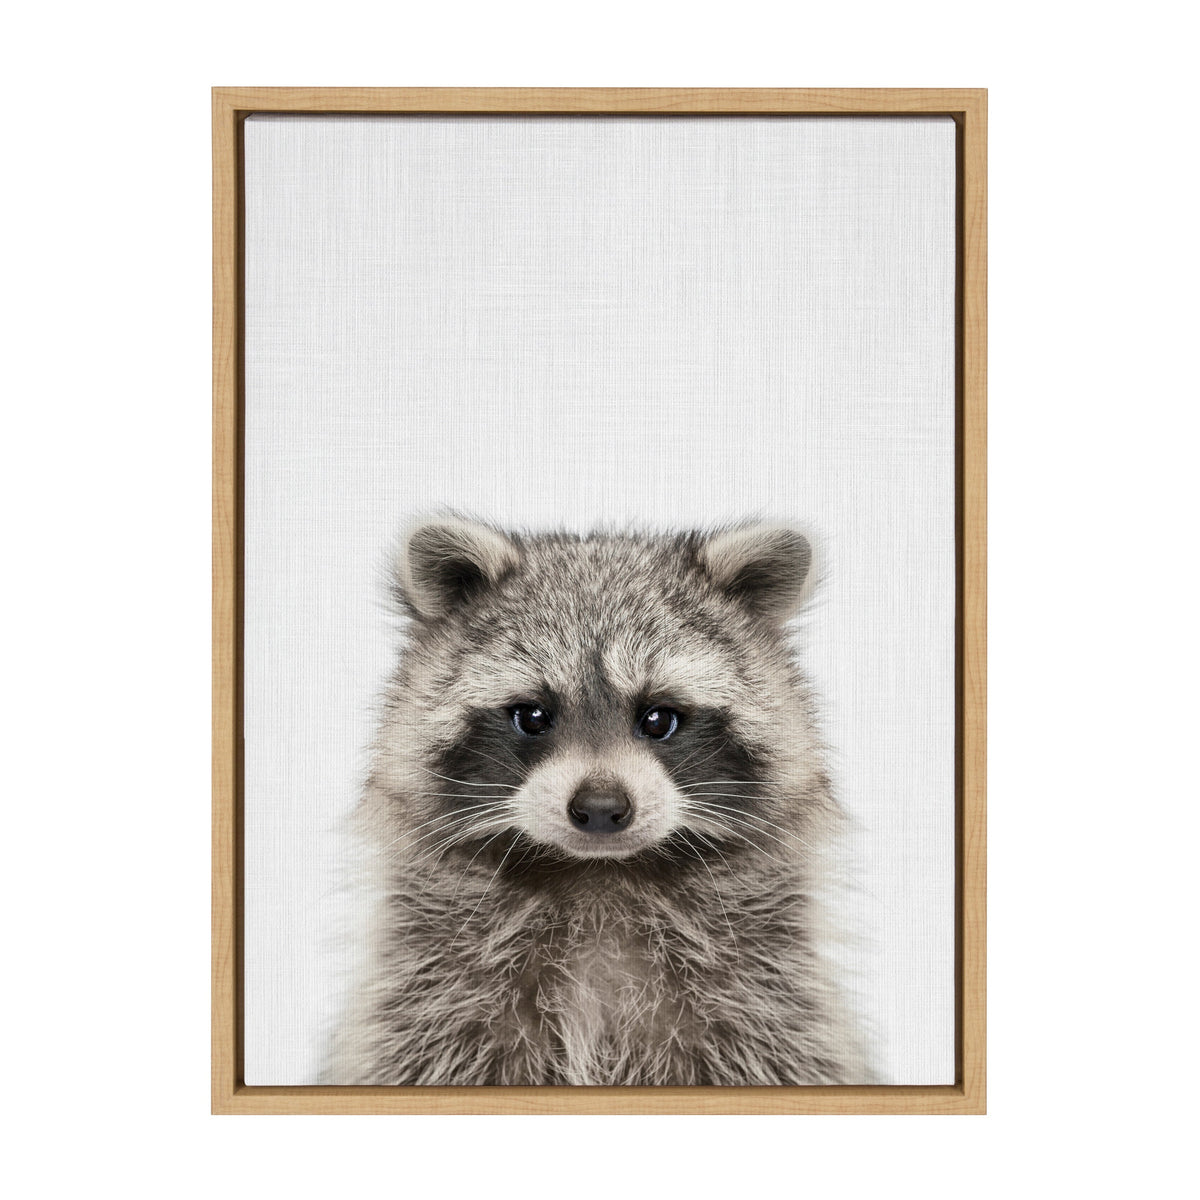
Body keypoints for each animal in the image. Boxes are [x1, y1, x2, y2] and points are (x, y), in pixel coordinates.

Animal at [326, 517, 870, 1085]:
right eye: (532, 716)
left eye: (658, 718)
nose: (602, 808)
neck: (597, 875)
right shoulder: (431, 998)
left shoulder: (766, 1000)